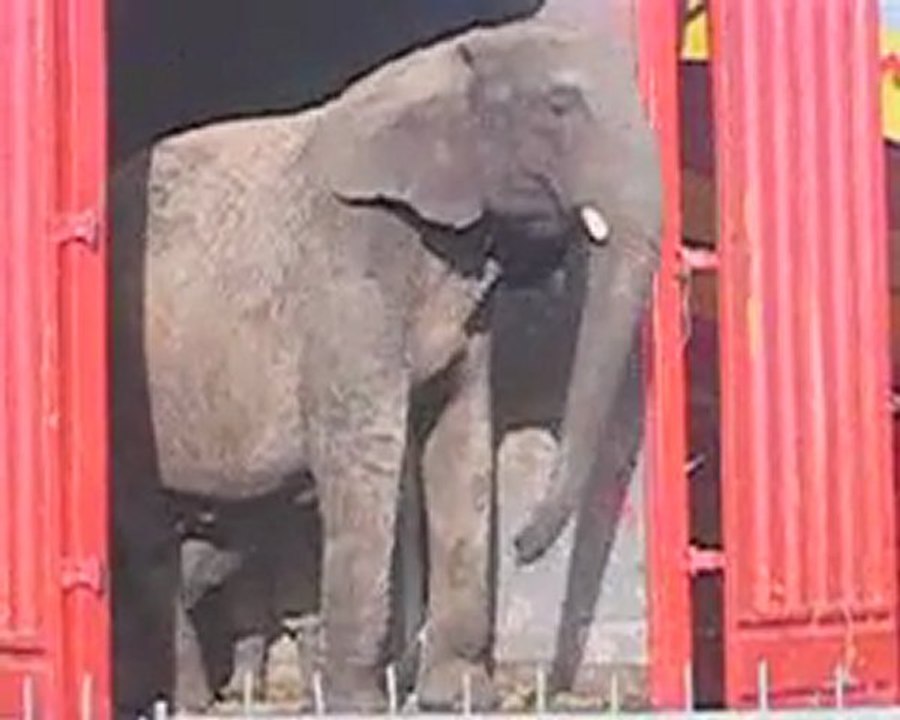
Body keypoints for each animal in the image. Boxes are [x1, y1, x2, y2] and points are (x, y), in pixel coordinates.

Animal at [110, 13, 661, 716]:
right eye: (560, 106)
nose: (521, 546)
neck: (447, 62)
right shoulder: (345, 272)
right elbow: (366, 451)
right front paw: (359, 705)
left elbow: (461, 438)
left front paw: (460, 697)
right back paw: (188, 702)